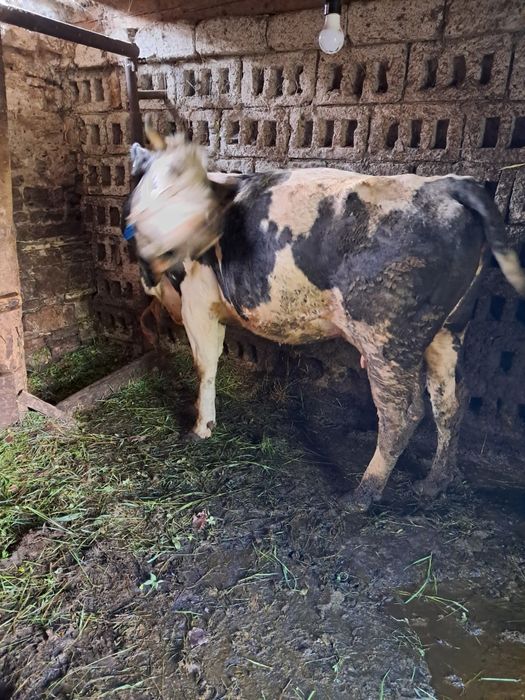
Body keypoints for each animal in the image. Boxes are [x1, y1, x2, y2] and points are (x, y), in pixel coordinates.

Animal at [123, 129, 525, 511]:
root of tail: (445, 184)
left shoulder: (197, 302)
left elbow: (205, 366)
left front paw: (200, 428)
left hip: (385, 337)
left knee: (402, 412)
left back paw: (362, 495)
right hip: (449, 328)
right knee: (451, 400)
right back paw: (435, 482)